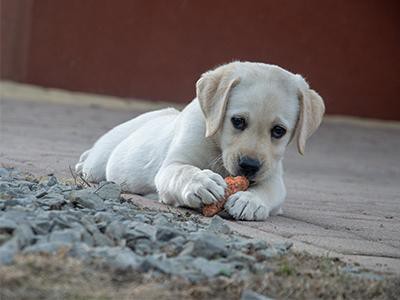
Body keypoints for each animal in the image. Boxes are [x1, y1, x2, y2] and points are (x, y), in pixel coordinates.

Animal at [76, 61, 324, 220]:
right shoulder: (172, 165)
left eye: (279, 131)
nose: (249, 166)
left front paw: (250, 201)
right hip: (99, 162)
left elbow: (269, 190)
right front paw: (201, 182)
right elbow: (183, 171)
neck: (217, 147)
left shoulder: (273, 176)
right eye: (238, 121)